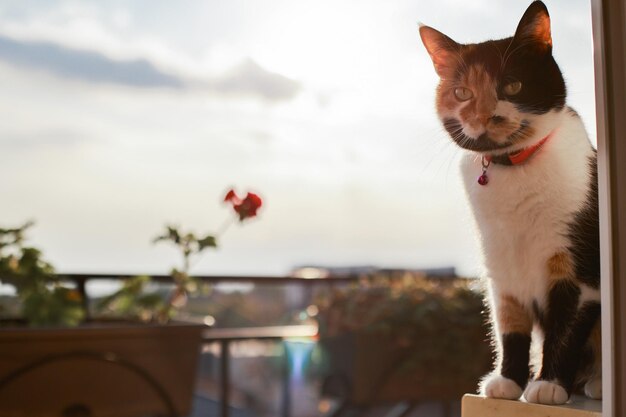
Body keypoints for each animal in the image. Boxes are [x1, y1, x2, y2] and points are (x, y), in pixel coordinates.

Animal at [416, 0, 596, 404]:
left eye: (512, 85)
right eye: (462, 92)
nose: (485, 115)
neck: (514, 167)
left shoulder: (576, 266)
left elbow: (565, 326)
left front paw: (548, 385)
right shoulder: (501, 263)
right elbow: (509, 324)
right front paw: (508, 382)